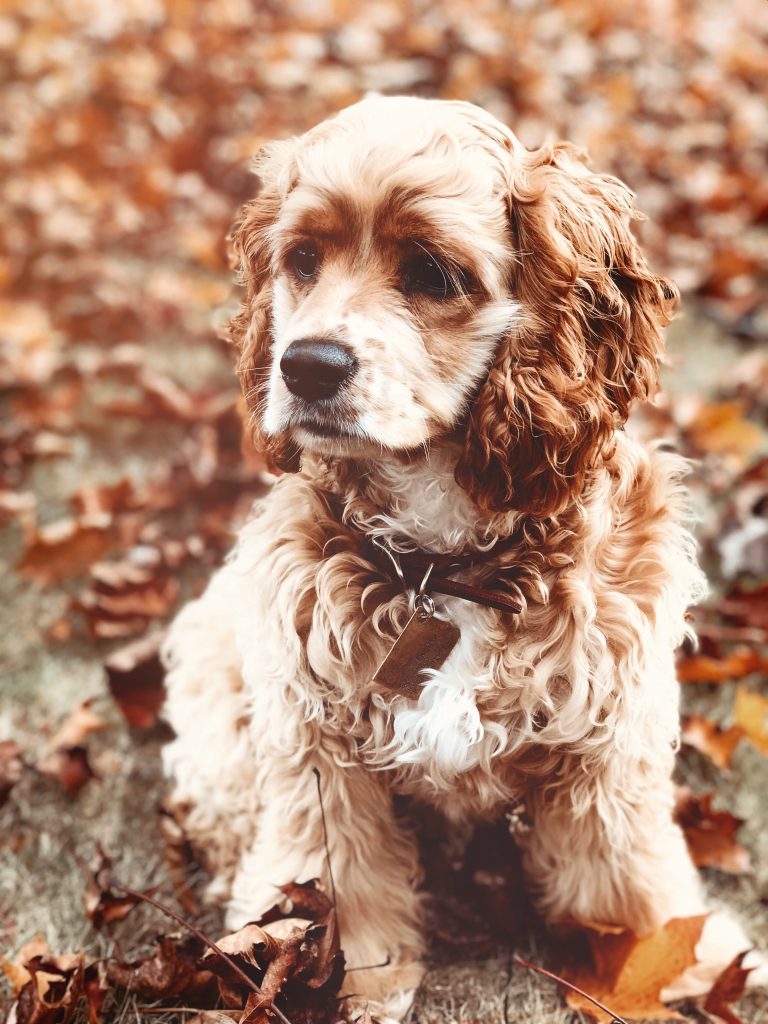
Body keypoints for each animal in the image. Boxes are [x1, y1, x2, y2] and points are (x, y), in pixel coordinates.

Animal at [162, 97, 765, 1024]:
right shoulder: (316, 738)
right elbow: (335, 875)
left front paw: (670, 956)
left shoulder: (607, 733)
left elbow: (625, 868)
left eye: (433, 275)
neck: (439, 568)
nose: (304, 367)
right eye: (301, 261)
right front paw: (353, 980)